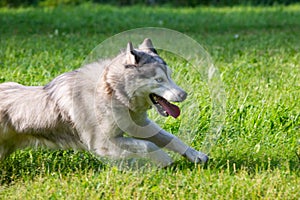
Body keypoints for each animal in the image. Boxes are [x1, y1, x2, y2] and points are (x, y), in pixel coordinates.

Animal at [0, 38, 207, 166]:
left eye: (169, 76)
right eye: (159, 80)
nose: (184, 95)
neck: (113, 92)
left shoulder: (139, 126)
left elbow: (171, 138)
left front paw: (195, 155)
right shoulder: (103, 143)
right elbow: (148, 145)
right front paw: (164, 160)